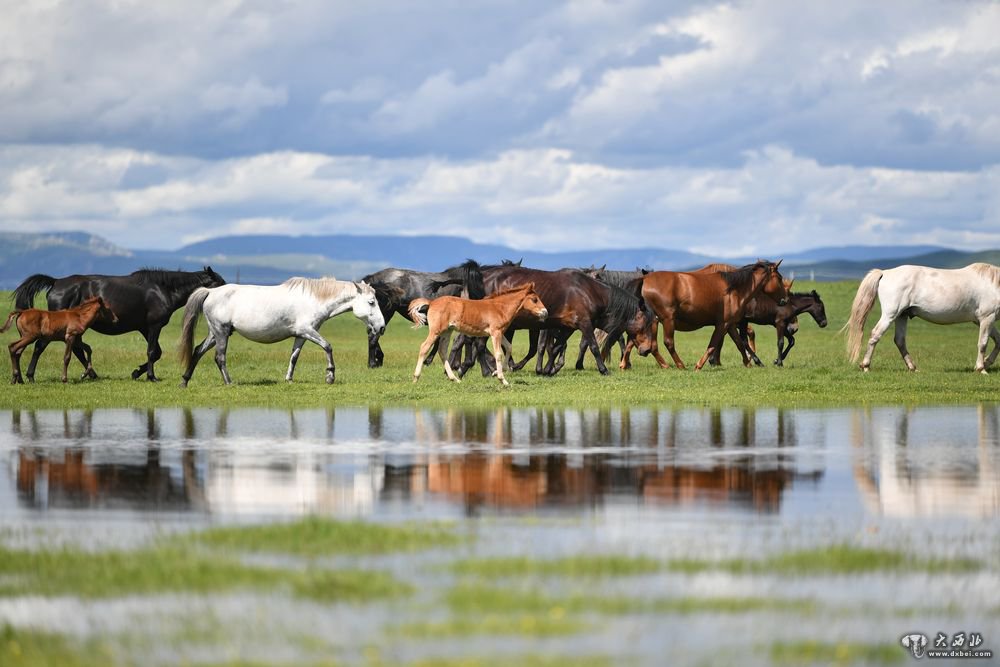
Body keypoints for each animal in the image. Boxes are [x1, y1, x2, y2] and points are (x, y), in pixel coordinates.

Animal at [13, 266, 225, 380]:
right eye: (220, 283)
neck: (163, 289)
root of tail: (56, 282)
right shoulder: (154, 326)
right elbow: (151, 352)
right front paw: (151, 376)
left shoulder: (145, 328)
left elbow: (156, 352)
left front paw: (136, 373)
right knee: (41, 346)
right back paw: (30, 375)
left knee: (76, 349)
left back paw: (91, 374)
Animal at [178, 276, 384, 386]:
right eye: (371, 302)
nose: (381, 327)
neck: (314, 300)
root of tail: (210, 292)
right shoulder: (307, 330)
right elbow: (328, 346)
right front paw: (330, 376)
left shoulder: (301, 335)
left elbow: (294, 356)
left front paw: (289, 379)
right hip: (221, 332)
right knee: (219, 357)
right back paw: (229, 382)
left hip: (216, 333)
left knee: (197, 351)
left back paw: (185, 381)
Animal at [406, 282, 548, 386]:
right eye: (534, 299)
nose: (545, 312)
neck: (500, 308)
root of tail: (431, 303)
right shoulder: (495, 332)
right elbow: (498, 354)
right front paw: (503, 380)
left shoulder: (499, 332)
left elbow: (508, 347)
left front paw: (496, 372)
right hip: (436, 330)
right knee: (424, 347)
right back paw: (415, 378)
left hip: (447, 331)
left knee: (442, 350)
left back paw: (454, 379)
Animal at [624, 260, 788, 370]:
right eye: (780, 278)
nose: (785, 300)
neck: (733, 289)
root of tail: (645, 279)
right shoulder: (723, 324)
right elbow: (713, 345)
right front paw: (699, 365)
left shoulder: (729, 325)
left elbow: (739, 344)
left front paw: (748, 364)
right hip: (665, 320)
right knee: (666, 343)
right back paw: (680, 365)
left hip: (652, 322)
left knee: (647, 345)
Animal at [844, 262, 1000, 376]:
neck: (994, 285)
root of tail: (885, 272)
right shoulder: (987, 317)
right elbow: (983, 343)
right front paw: (981, 368)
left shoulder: (982, 320)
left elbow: (998, 341)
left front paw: (986, 363)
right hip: (890, 314)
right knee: (875, 335)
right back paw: (865, 366)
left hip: (902, 316)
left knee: (899, 340)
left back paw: (912, 367)